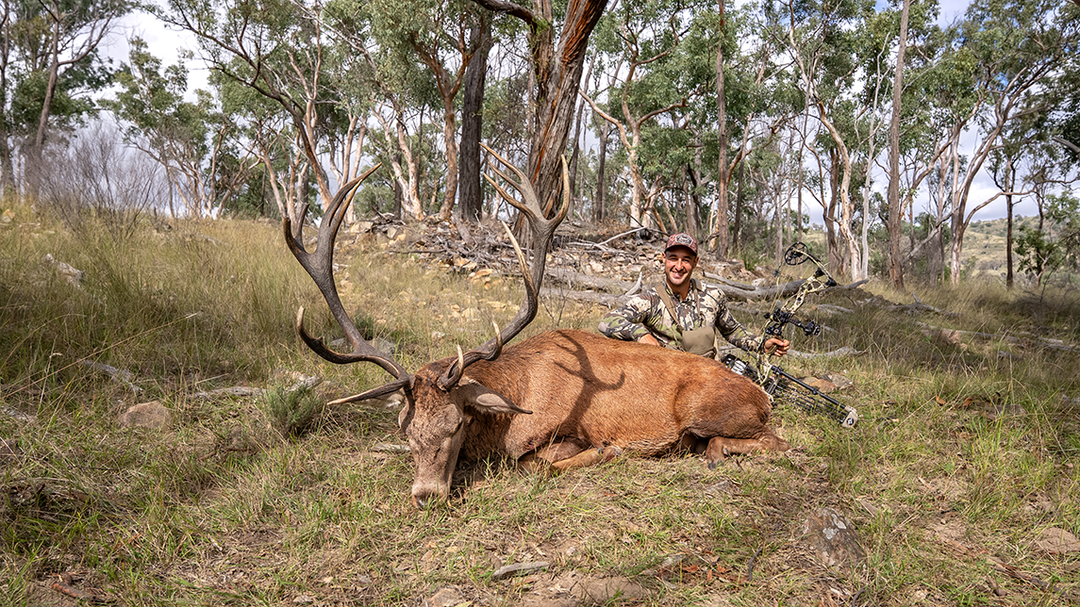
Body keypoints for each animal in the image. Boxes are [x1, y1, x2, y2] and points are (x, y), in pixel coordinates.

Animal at [284, 147, 789, 508]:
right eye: (405, 430)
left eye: (456, 424)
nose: (426, 496)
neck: (507, 412)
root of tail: (763, 397)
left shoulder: (566, 431)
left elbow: (536, 464)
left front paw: (607, 452)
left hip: (707, 410)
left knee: (772, 441)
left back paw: (712, 451)